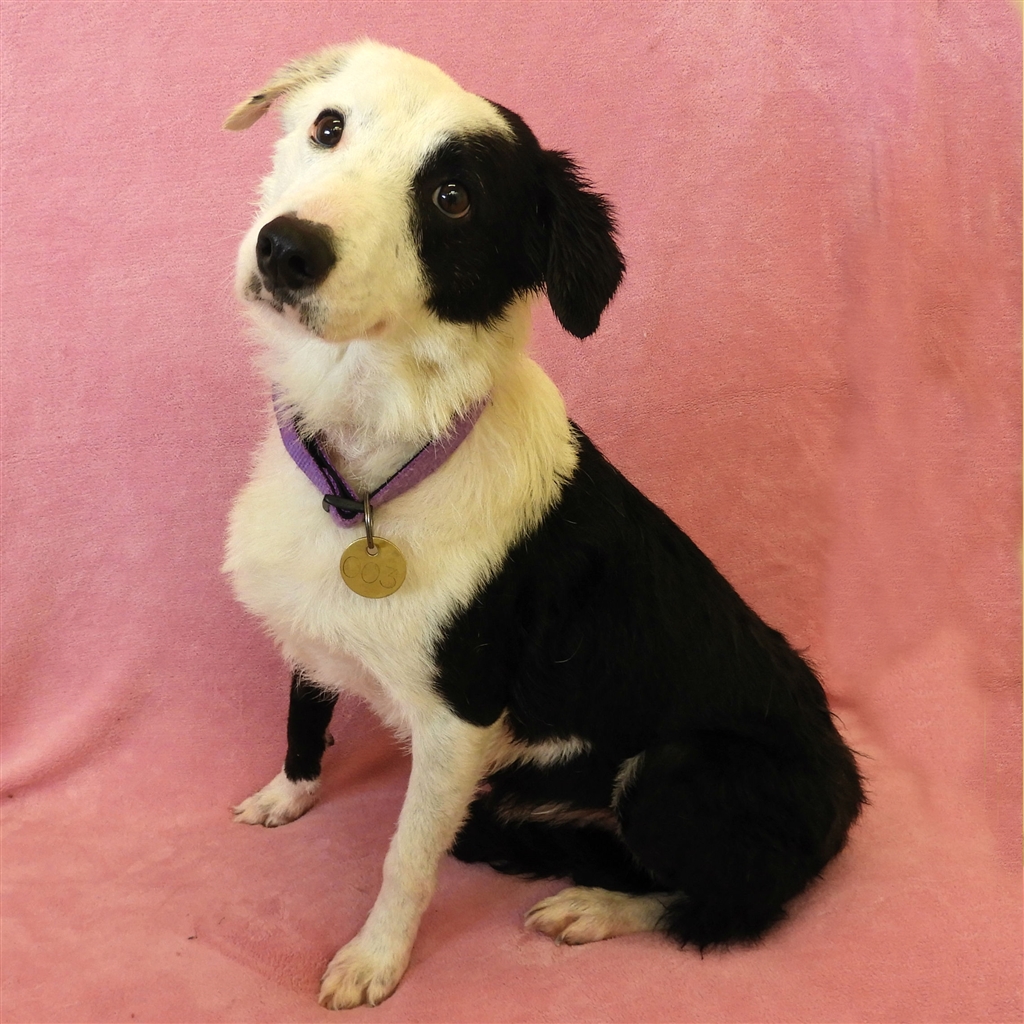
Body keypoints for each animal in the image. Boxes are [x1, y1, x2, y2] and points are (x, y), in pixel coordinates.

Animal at [223, 41, 864, 1010]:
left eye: (453, 198)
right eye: (328, 127)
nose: (287, 248)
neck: (376, 455)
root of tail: (850, 792)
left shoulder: (460, 718)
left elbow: (406, 857)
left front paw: (376, 958)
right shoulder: (314, 620)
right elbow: (304, 712)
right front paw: (285, 795)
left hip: (676, 772)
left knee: (724, 905)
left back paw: (594, 907)